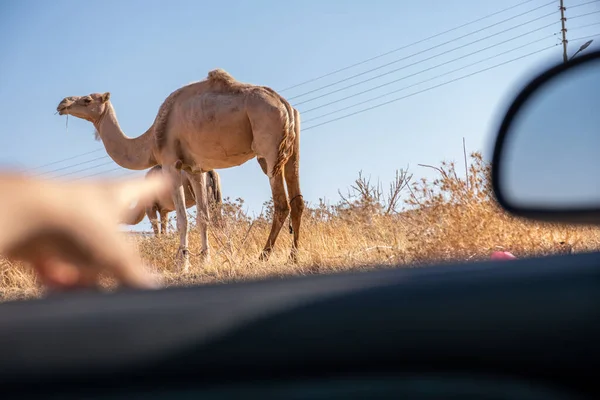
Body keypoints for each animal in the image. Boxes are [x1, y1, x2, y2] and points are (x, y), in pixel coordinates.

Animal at [56, 70, 304, 274]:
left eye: (87, 99)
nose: (62, 103)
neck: (151, 140)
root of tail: (285, 104)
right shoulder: (194, 168)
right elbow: (203, 217)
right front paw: (205, 260)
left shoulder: (170, 164)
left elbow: (182, 219)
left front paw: (182, 263)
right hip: (291, 150)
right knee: (297, 200)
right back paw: (293, 257)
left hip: (268, 146)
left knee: (282, 204)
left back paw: (262, 257)